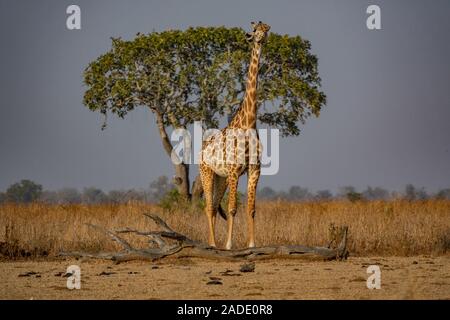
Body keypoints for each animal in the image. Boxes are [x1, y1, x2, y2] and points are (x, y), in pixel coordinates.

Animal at [199, 21, 268, 250]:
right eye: (254, 30)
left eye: (267, 28)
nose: (260, 37)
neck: (248, 123)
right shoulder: (234, 171)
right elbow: (232, 209)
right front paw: (229, 245)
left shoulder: (254, 170)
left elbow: (251, 208)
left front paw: (252, 244)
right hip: (207, 173)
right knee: (208, 207)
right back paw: (213, 244)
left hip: (220, 178)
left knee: (213, 207)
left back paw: (213, 243)